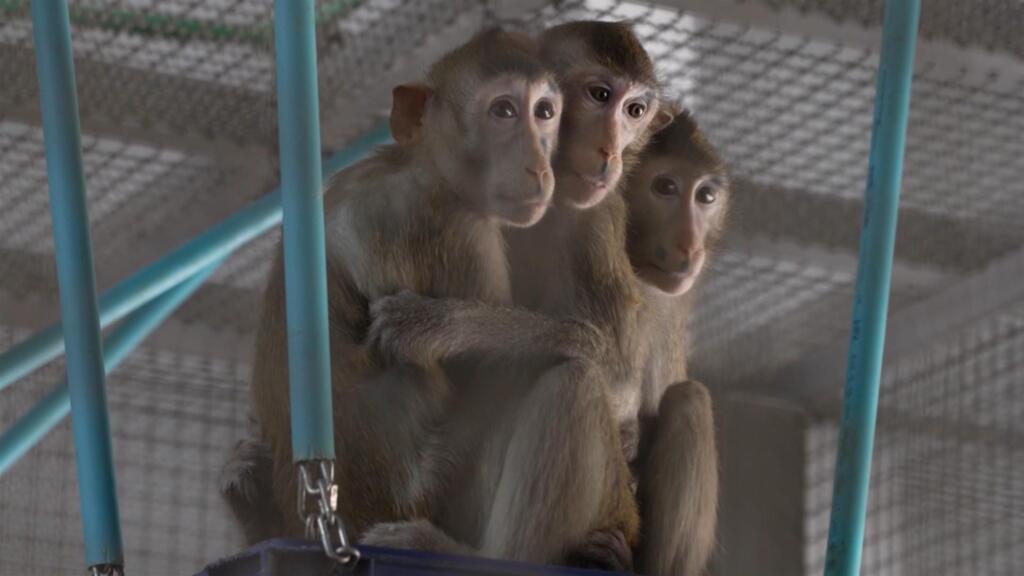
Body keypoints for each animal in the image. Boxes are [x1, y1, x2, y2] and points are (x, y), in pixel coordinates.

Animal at [222, 28, 564, 544]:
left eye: (544, 111)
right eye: (503, 110)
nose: (538, 166)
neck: (420, 164)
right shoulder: (455, 231)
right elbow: (493, 369)